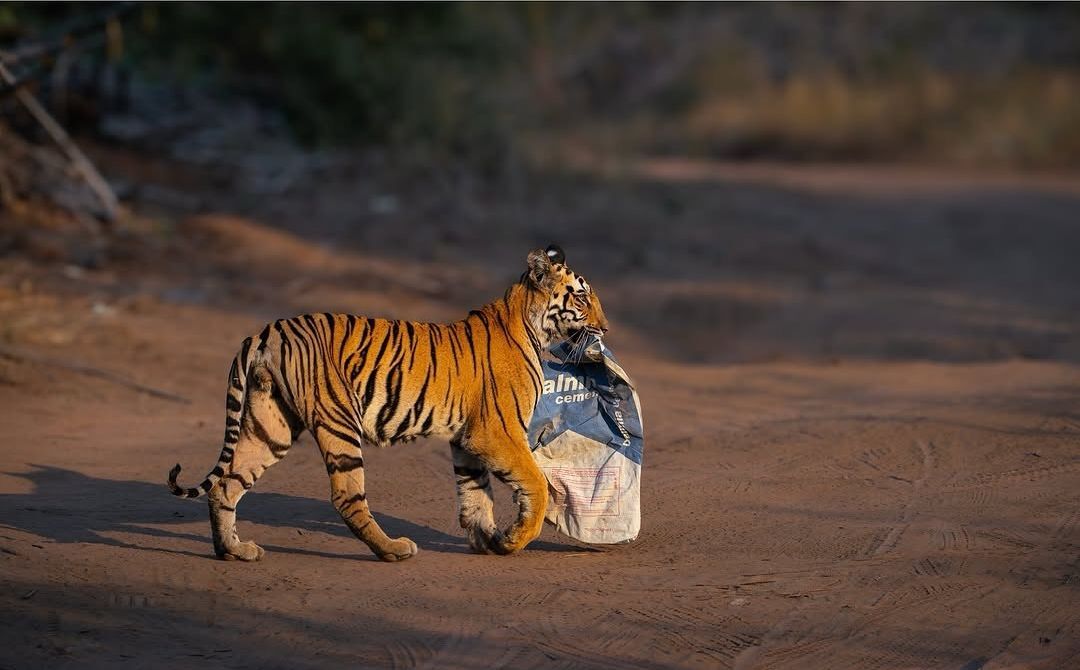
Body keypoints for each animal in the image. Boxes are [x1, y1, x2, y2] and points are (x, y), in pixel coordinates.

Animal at [167, 245, 609, 562]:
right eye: (582, 299)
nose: (605, 328)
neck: (529, 323)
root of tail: (268, 330)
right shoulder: (497, 433)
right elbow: (535, 483)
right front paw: (514, 539)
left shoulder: (468, 440)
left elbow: (475, 494)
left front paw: (488, 539)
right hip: (339, 421)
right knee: (346, 497)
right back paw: (393, 549)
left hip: (270, 423)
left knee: (226, 483)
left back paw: (233, 551)